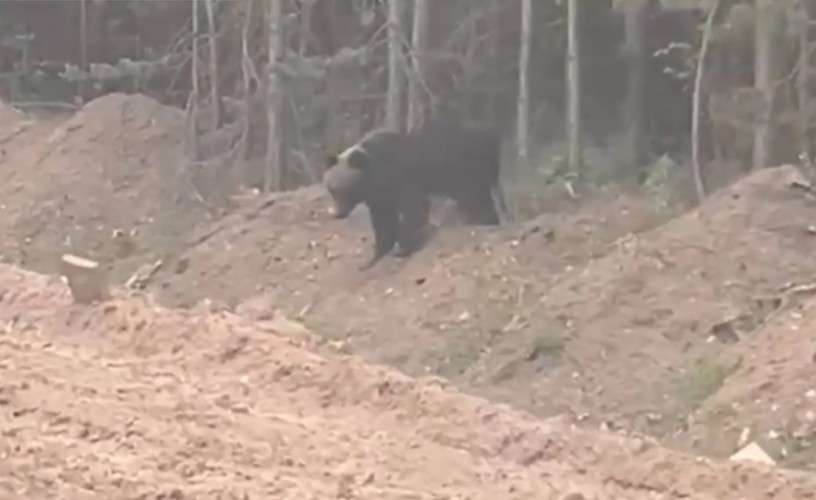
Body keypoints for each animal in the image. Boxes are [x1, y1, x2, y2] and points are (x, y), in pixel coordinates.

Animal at [324, 118, 508, 269]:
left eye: (345, 188)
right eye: (332, 189)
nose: (338, 213)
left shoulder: (402, 179)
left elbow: (414, 209)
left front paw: (401, 248)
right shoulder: (379, 197)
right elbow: (383, 223)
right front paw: (373, 257)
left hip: (468, 170)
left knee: (476, 199)